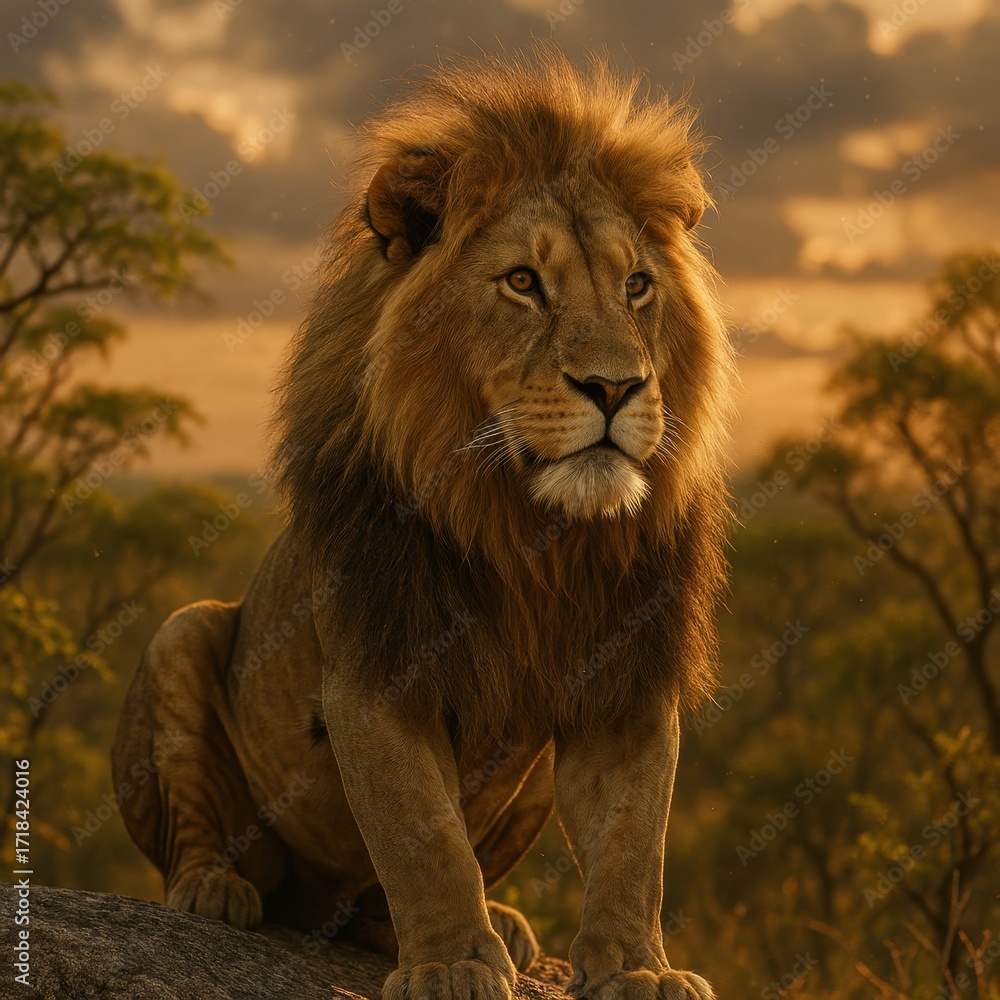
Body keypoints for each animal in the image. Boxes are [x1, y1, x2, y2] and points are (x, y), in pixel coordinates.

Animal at [112, 47, 733, 1000]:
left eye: (637, 285)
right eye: (523, 283)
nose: (617, 386)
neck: (531, 532)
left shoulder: (626, 679)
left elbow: (635, 844)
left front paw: (637, 968)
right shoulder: (379, 668)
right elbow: (425, 841)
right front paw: (449, 964)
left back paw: (505, 927)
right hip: (181, 634)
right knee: (217, 843)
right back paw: (215, 888)